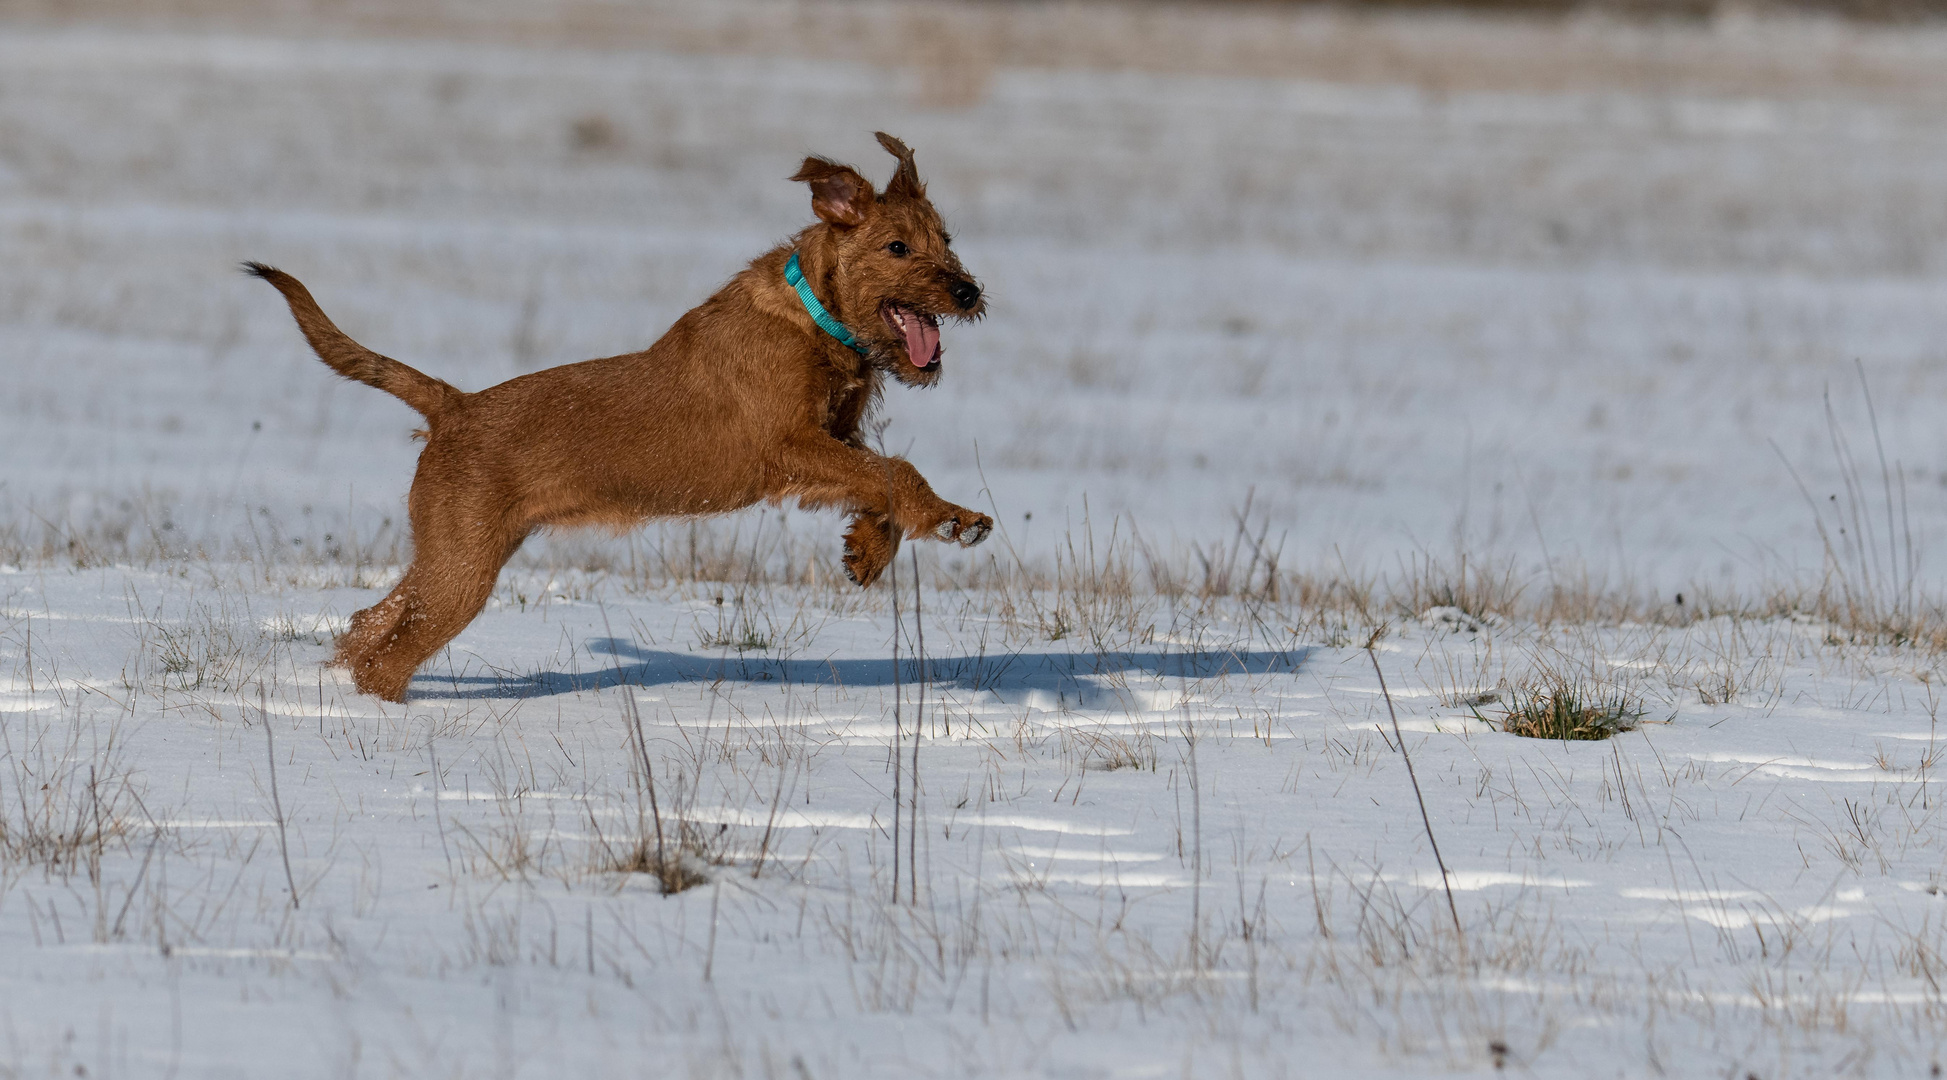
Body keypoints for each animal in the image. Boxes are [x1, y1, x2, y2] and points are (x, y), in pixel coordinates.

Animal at [251, 133, 996, 700]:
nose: (967, 290)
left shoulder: (834, 437)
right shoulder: (786, 447)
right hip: (462, 569)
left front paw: (868, 550)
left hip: (453, 550)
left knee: (371, 619)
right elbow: (896, 469)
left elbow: (875, 475)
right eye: (897, 248)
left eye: (946, 238)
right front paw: (952, 519)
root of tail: (454, 404)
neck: (816, 315)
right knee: (390, 651)